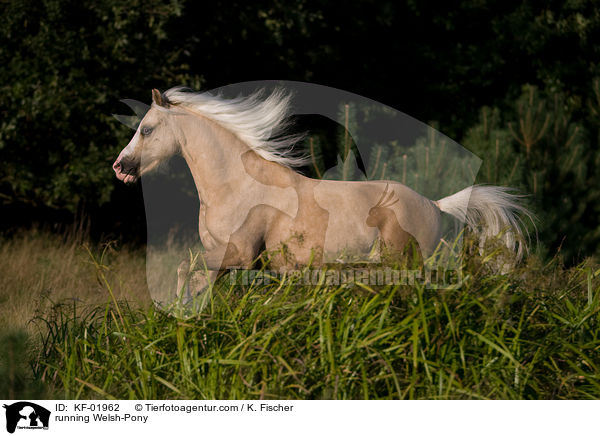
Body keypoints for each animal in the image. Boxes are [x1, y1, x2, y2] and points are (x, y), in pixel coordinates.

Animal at [112, 89, 528, 300]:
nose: (120, 166)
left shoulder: (237, 255)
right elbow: (193, 274)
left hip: (404, 263)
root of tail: (434, 204)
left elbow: (189, 272)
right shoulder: (229, 259)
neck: (236, 186)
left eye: (146, 129)